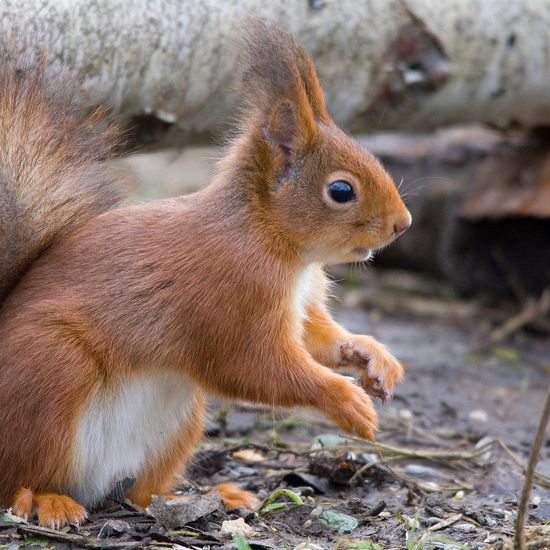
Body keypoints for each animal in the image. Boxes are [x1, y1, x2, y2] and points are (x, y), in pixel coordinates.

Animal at [0, 21, 410, 532]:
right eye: (340, 190)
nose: (403, 224)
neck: (274, 243)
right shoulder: (232, 295)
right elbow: (256, 367)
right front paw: (347, 400)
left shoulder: (301, 303)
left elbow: (319, 339)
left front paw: (372, 356)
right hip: (51, 372)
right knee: (18, 477)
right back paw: (47, 500)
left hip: (178, 420)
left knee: (140, 493)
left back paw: (210, 496)